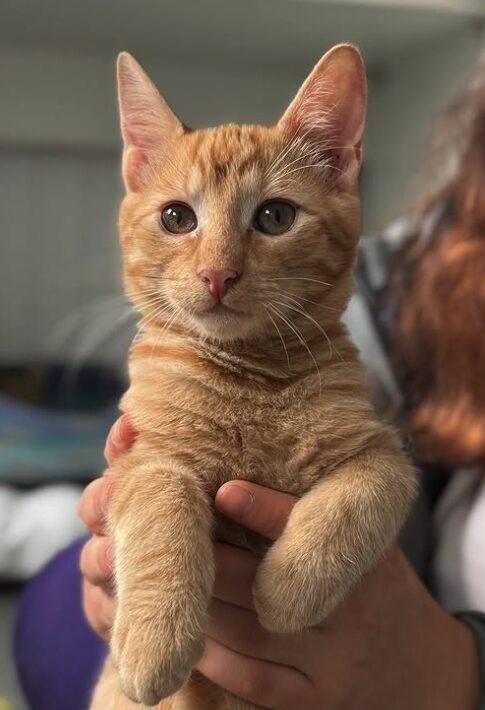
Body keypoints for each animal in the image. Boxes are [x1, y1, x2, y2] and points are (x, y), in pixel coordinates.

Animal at [89, 46, 414, 710]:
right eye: (176, 217)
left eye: (275, 216)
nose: (218, 274)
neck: (253, 381)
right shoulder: (141, 457)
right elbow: (163, 504)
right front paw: (156, 637)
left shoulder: (381, 449)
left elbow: (362, 495)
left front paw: (288, 588)